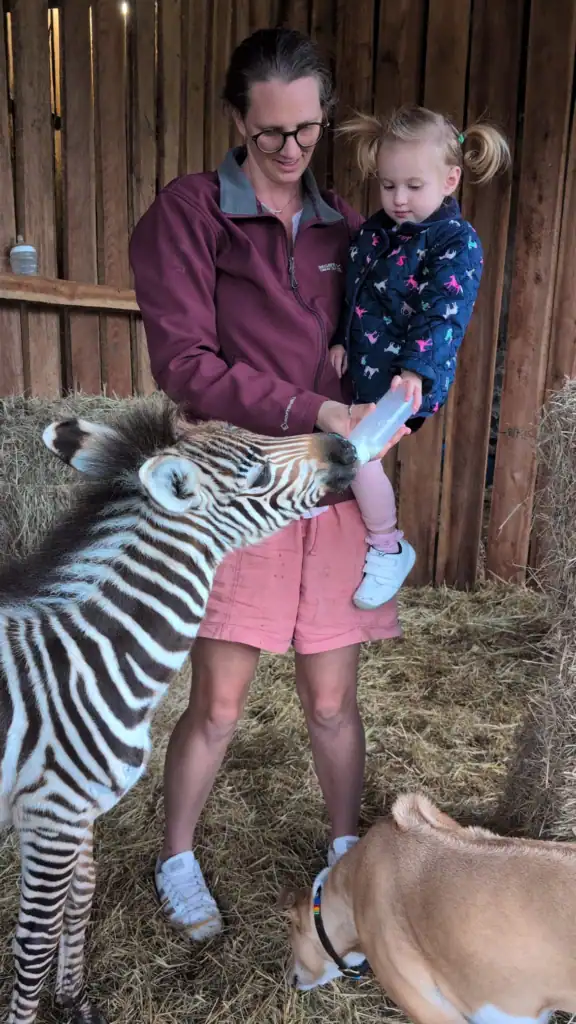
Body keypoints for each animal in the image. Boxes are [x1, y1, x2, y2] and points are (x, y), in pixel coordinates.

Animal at [0, 400, 358, 1024]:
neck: (87, 661)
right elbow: (34, 943)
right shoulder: (50, 814)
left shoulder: (74, 815)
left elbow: (80, 901)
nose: (346, 445)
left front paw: (76, 1004)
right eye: (255, 476)